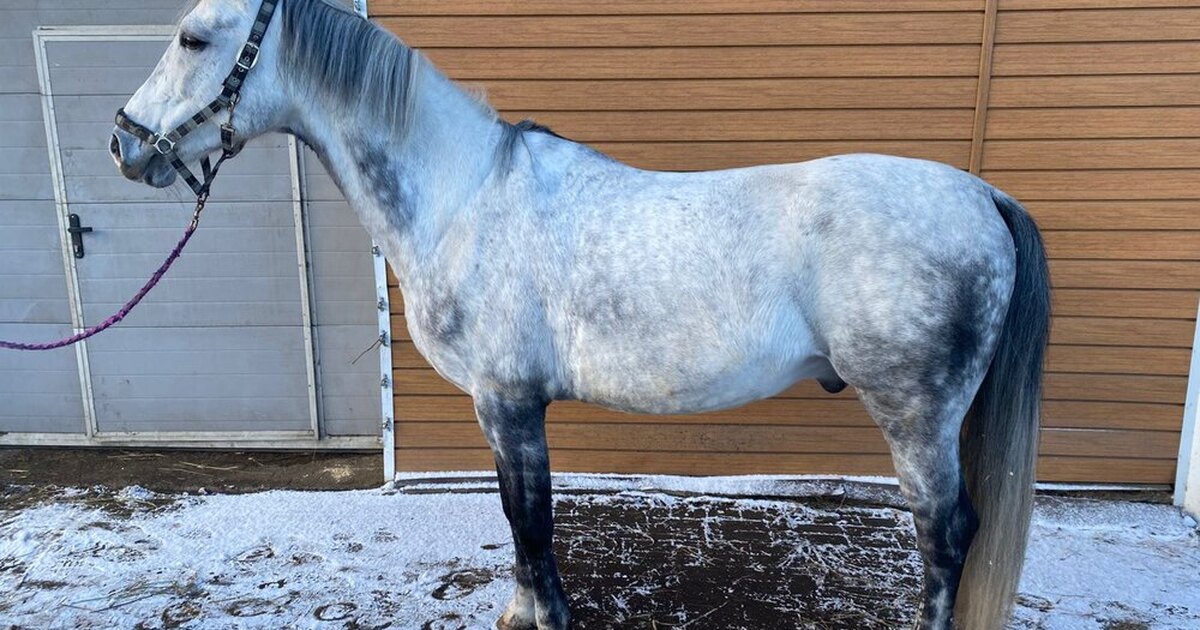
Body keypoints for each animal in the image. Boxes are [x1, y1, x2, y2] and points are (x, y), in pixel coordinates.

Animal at [110, 1, 1050, 628]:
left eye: (193, 37)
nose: (122, 142)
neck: (462, 197)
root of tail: (982, 196)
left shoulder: (509, 402)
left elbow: (531, 522)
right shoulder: (503, 407)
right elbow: (515, 516)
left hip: (915, 416)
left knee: (945, 534)